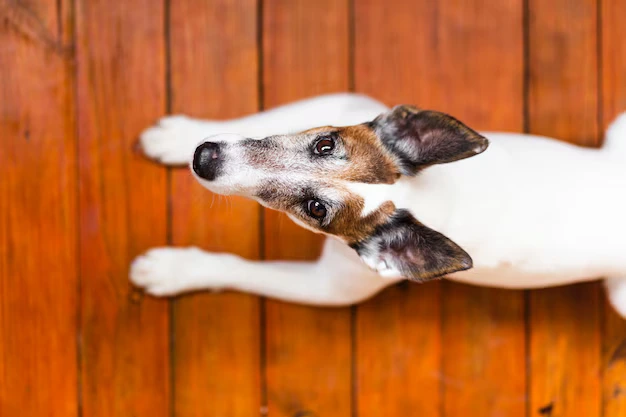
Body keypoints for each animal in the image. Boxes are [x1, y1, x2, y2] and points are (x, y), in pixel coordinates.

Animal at [128, 92, 624, 316]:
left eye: (316, 209)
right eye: (325, 144)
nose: (205, 158)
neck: (432, 193)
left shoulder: (332, 286)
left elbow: (237, 268)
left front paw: (176, 270)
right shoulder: (344, 102)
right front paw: (178, 136)